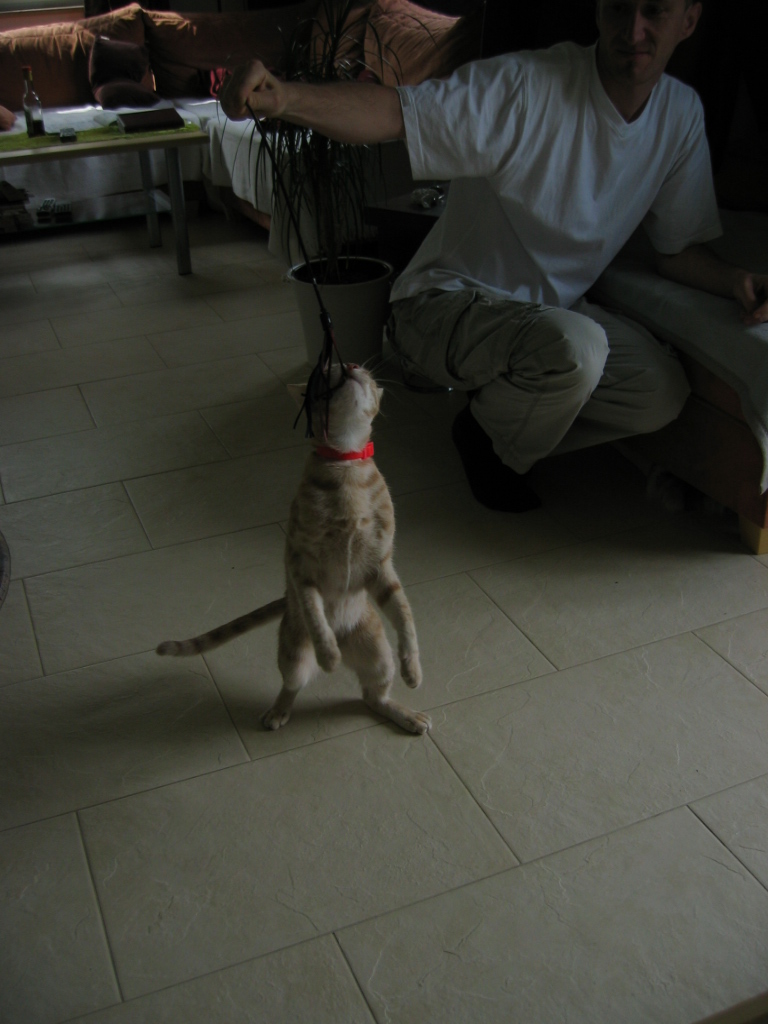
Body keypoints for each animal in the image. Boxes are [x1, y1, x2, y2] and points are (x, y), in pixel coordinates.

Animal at [157, 362, 431, 736]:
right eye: (328, 371)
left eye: (364, 370)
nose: (351, 365)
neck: (346, 467)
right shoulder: (301, 566)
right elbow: (316, 616)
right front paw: (328, 654)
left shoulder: (382, 566)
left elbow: (405, 616)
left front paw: (413, 668)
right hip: (294, 652)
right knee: (292, 683)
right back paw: (280, 708)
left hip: (377, 652)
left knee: (373, 695)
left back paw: (404, 713)